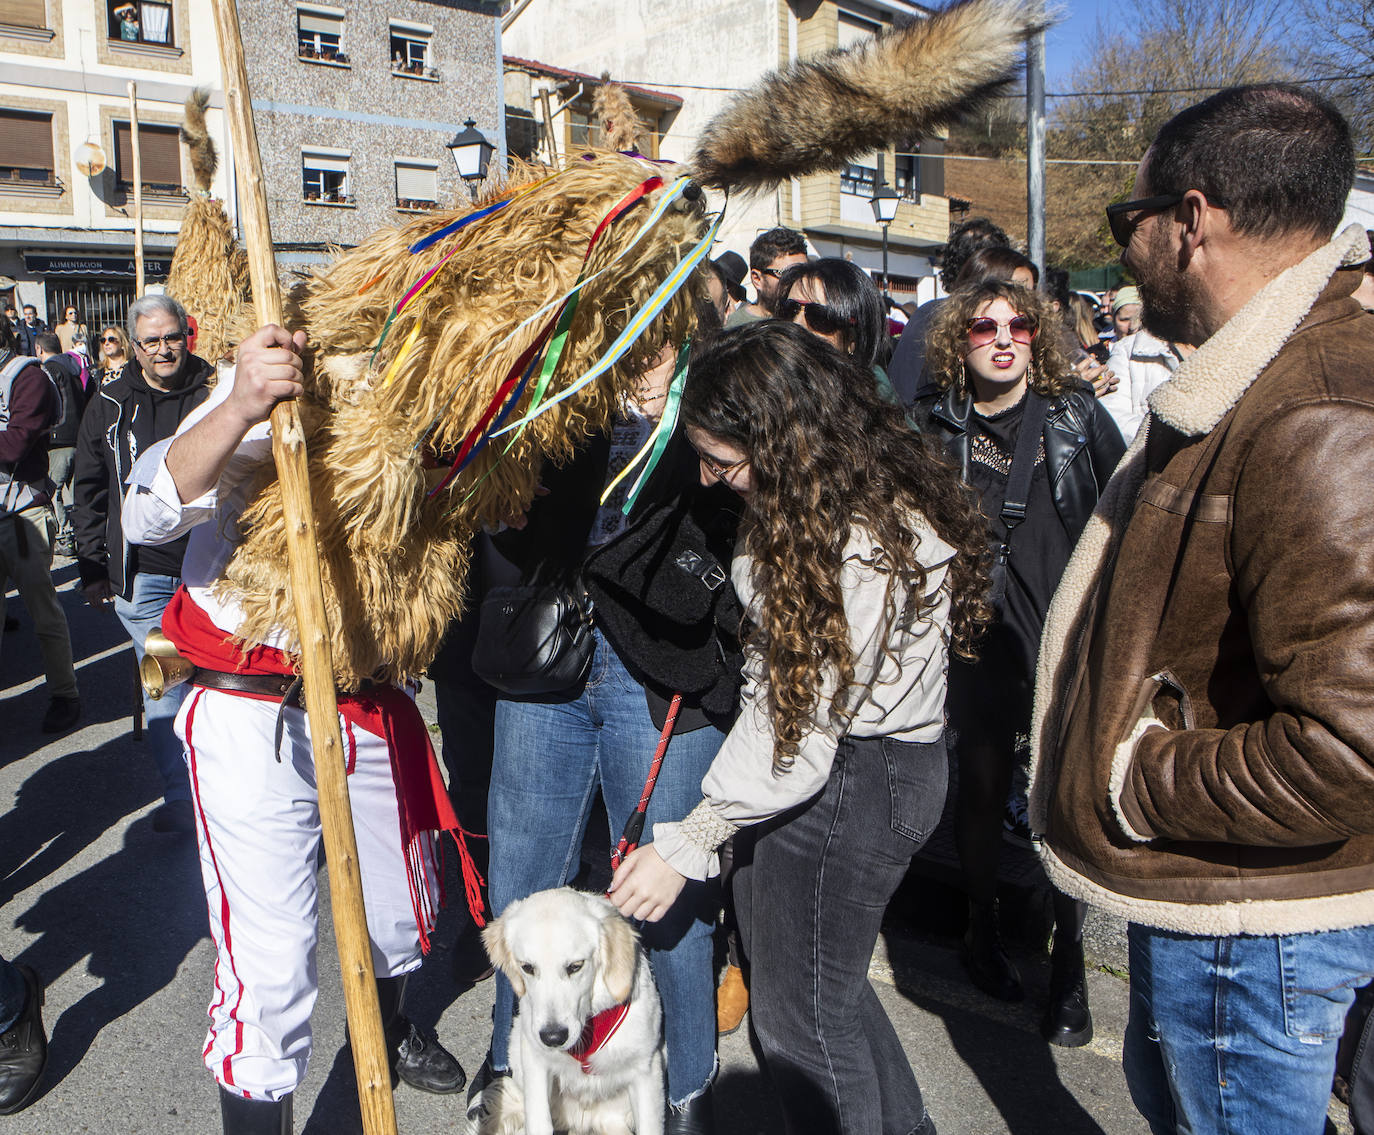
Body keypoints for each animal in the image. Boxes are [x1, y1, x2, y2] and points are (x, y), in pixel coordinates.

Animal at [475, 884, 662, 1132]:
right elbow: (539, 1123)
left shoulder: (645, 1069)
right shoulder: (536, 1061)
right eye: (527, 967)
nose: (553, 1037)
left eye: (575, 966)